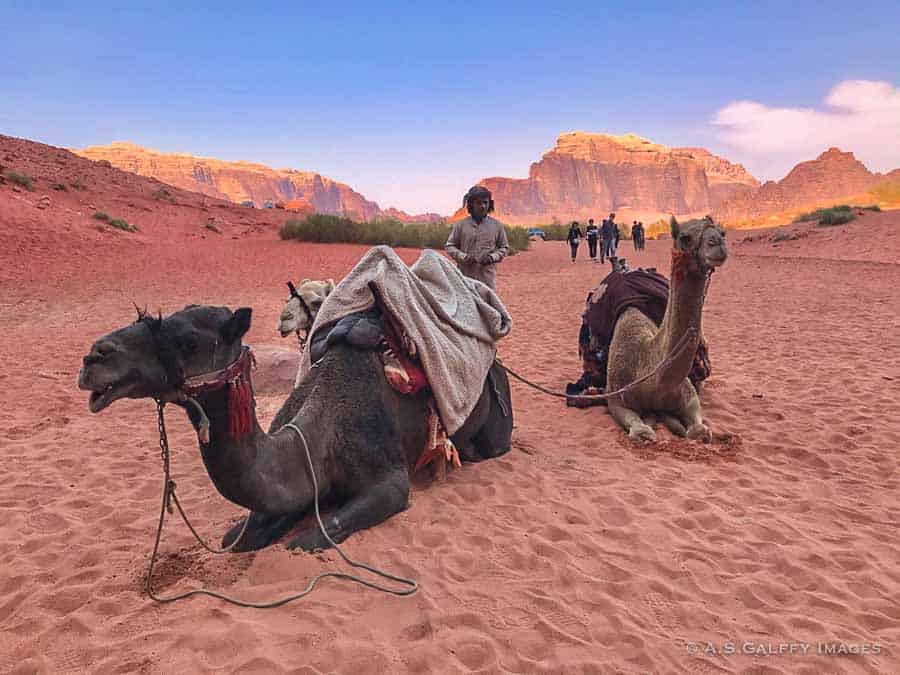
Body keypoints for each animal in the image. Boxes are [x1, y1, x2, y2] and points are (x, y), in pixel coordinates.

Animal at [79, 304, 512, 552]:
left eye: (187, 340)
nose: (94, 357)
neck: (319, 437)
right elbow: (240, 536)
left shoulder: (389, 480)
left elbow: (308, 541)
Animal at [600, 219, 728, 444]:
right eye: (684, 237)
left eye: (723, 233)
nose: (718, 244)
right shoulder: (616, 398)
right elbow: (641, 431)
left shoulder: (688, 395)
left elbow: (699, 430)